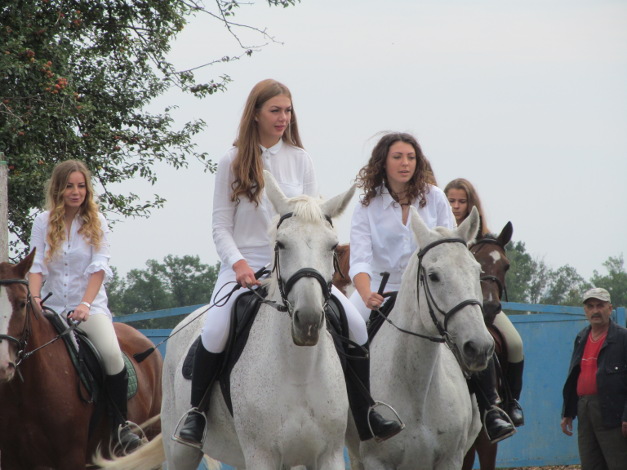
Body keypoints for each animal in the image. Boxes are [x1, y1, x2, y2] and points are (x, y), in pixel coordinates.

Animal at [96, 170, 356, 470]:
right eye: (281, 244)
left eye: (332, 246)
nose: (309, 320)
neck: (299, 372)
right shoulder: (261, 456)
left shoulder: (329, 455)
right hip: (181, 451)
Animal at [350, 207, 494, 470]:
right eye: (433, 276)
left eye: (477, 271)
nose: (479, 347)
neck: (417, 390)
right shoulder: (376, 461)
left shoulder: (451, 459)